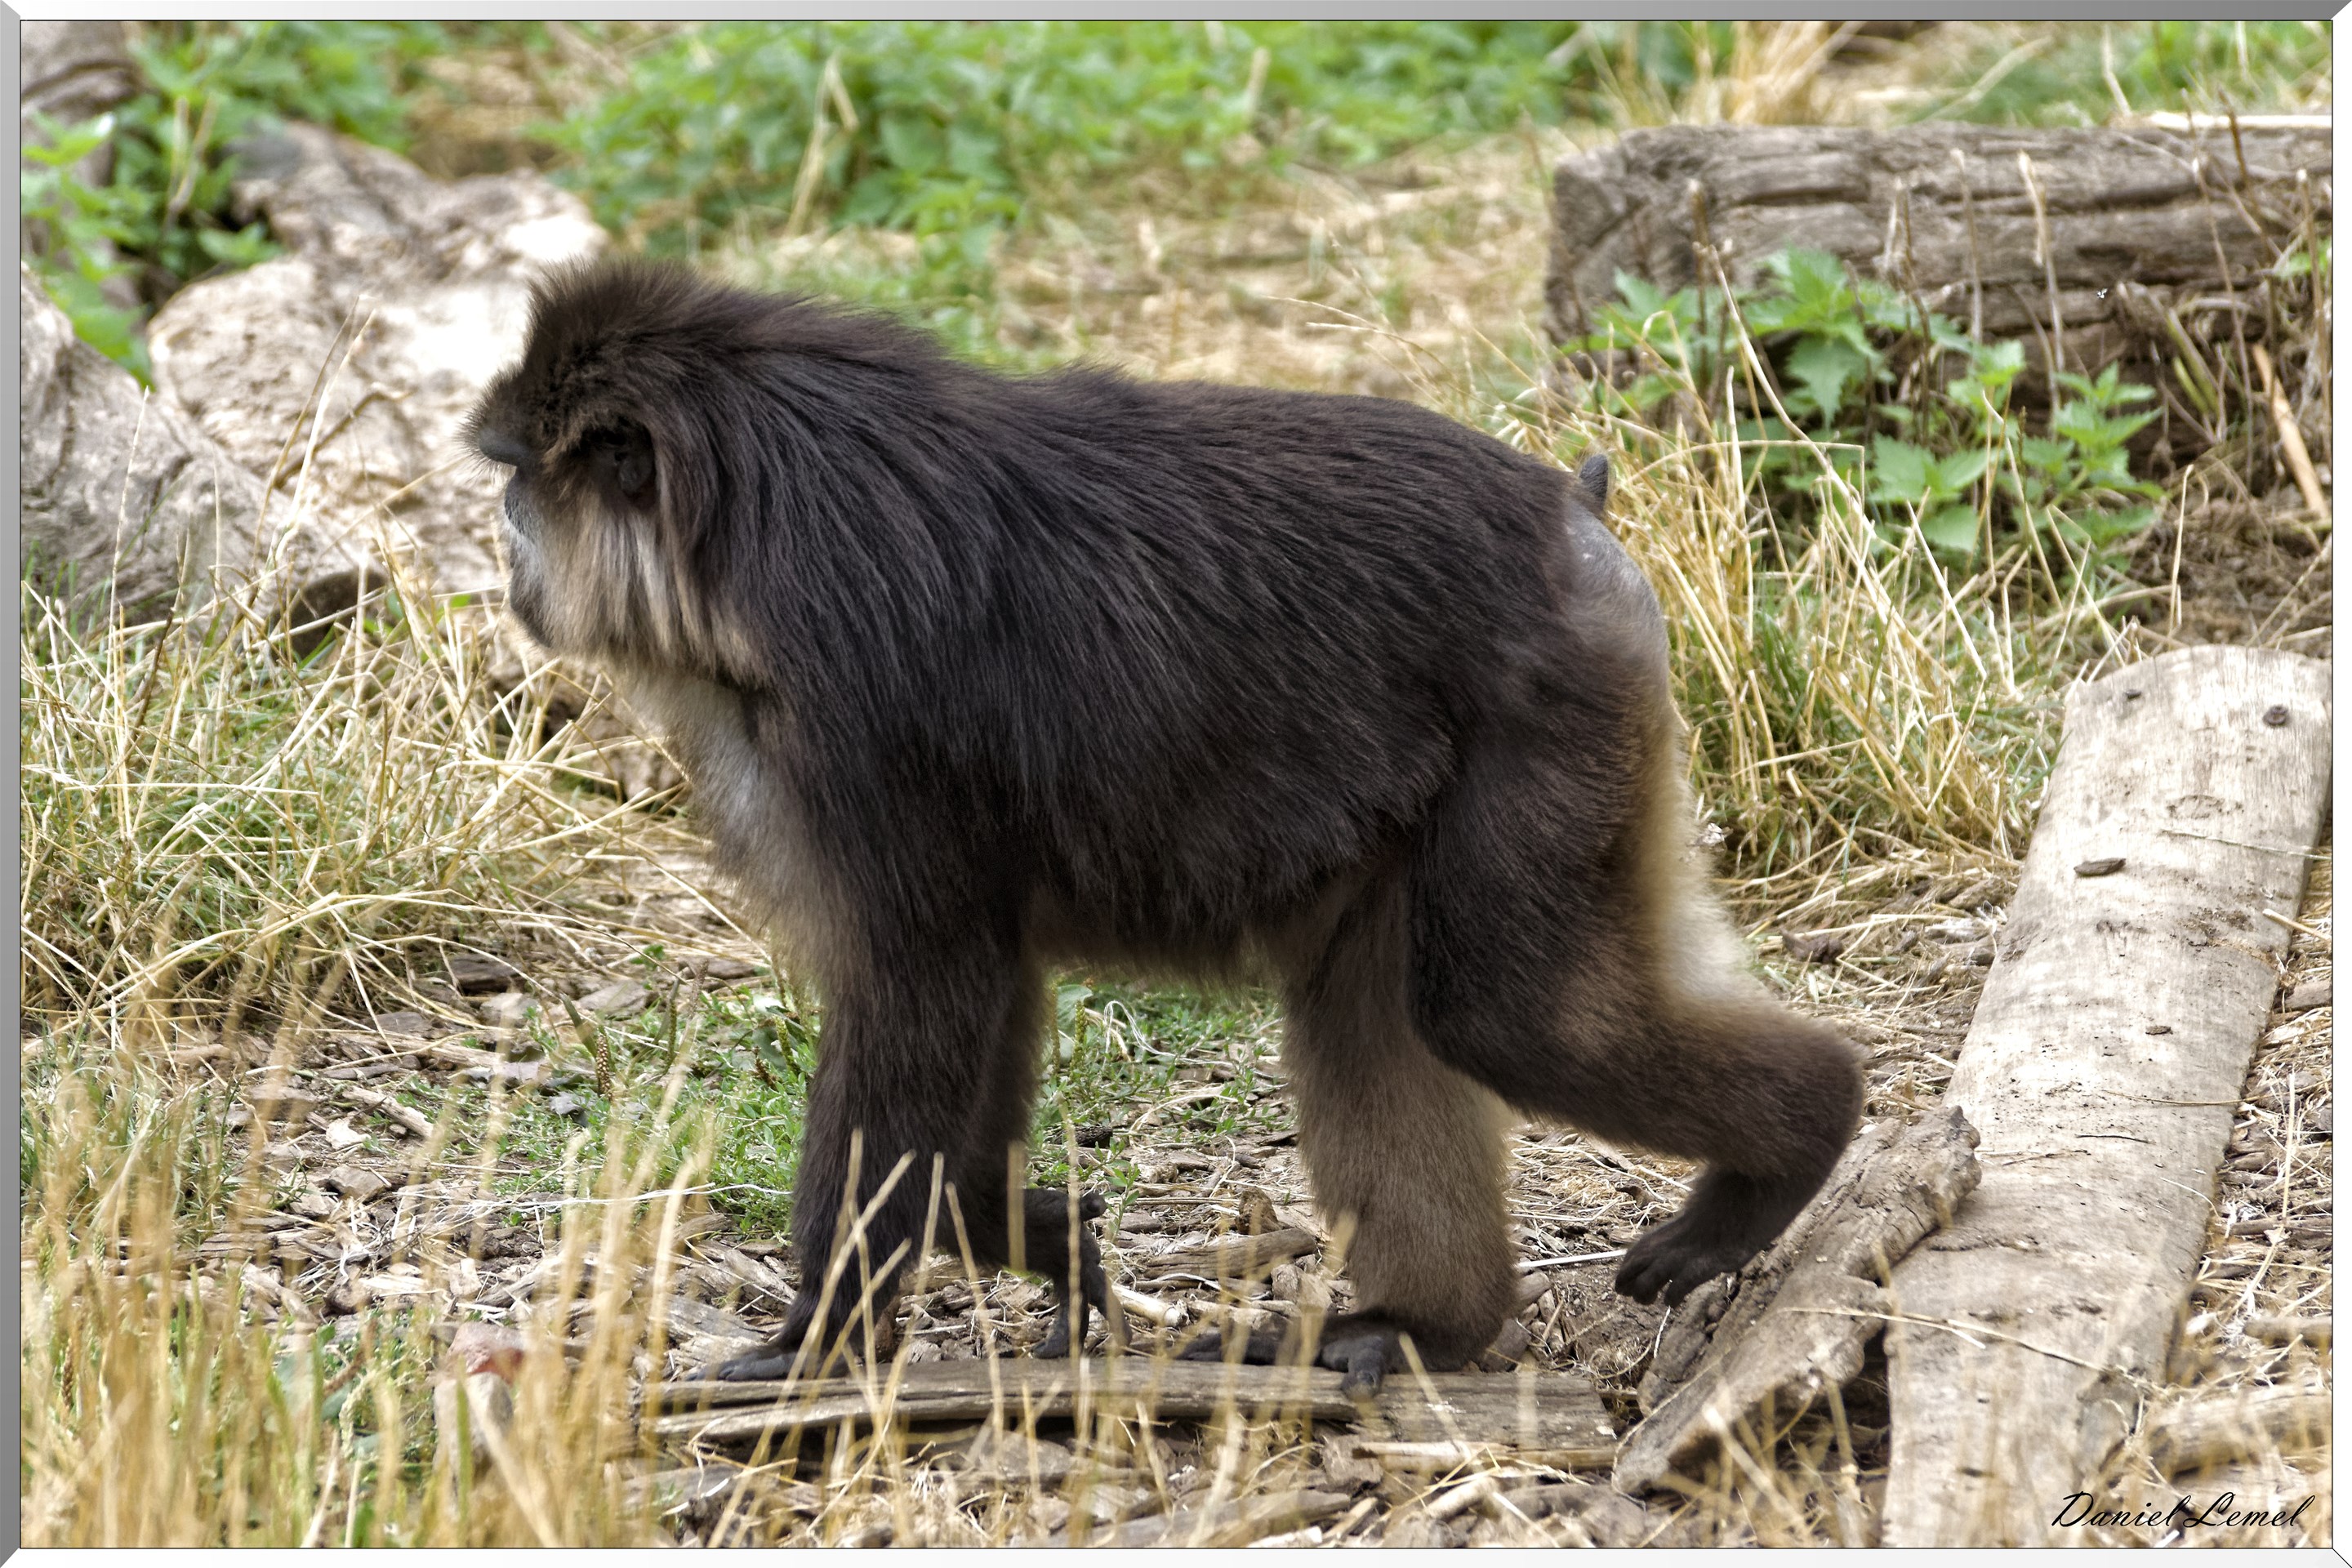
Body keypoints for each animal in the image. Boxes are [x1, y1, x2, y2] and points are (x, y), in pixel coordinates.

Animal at [466, 259, 1863, 1393]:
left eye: (515, 482)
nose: (506, 550)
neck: (746, 520)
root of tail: (1568, 518)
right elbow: (985, 983)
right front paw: (1013, 1232)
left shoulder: (854, 717)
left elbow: (921, 981)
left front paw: (820, 1334)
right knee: (1383, 1010)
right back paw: (1429, 1327)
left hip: (1553, 711)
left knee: (1505, 1013)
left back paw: (1799, 1144)